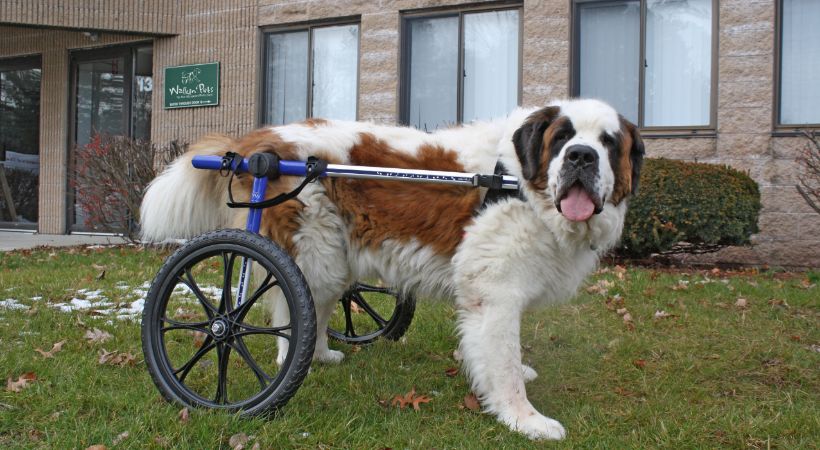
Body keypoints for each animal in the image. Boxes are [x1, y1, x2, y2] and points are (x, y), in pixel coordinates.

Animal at [141, 98, 644, 440]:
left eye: (607, 143)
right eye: (562, 137)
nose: (581, 156)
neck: (519, 181)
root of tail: (257, 144)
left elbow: (502, 356)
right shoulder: (495, 292)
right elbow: (502, 366)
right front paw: (525, 419)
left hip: (335, 256)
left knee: (316, 307)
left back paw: (321, 355)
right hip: (312, 249)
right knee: (286, 313)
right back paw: (285, 361)